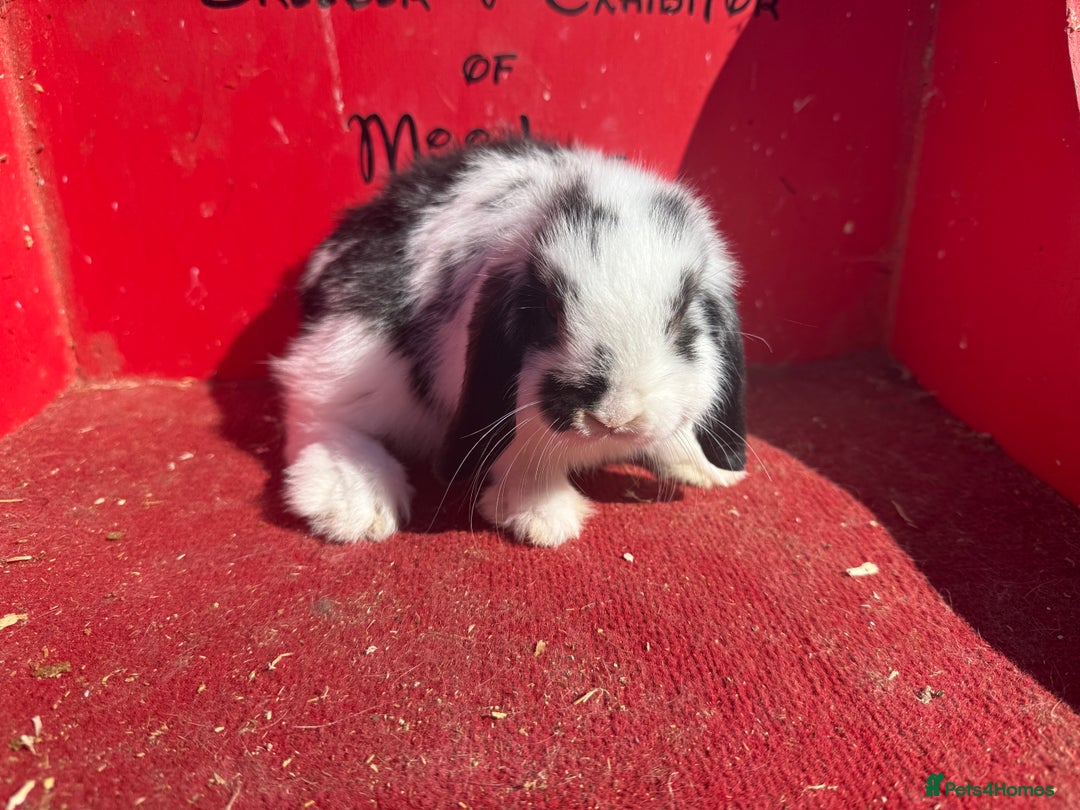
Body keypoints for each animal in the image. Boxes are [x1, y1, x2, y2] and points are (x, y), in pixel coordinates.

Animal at [272, 137, 747, 548]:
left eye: (683, 314)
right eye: (547, 310)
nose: (615, 416)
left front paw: (705, 467)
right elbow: (523, 454)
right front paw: (545, 519)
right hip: (349, 352)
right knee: (316, 413)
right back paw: (354, 503)